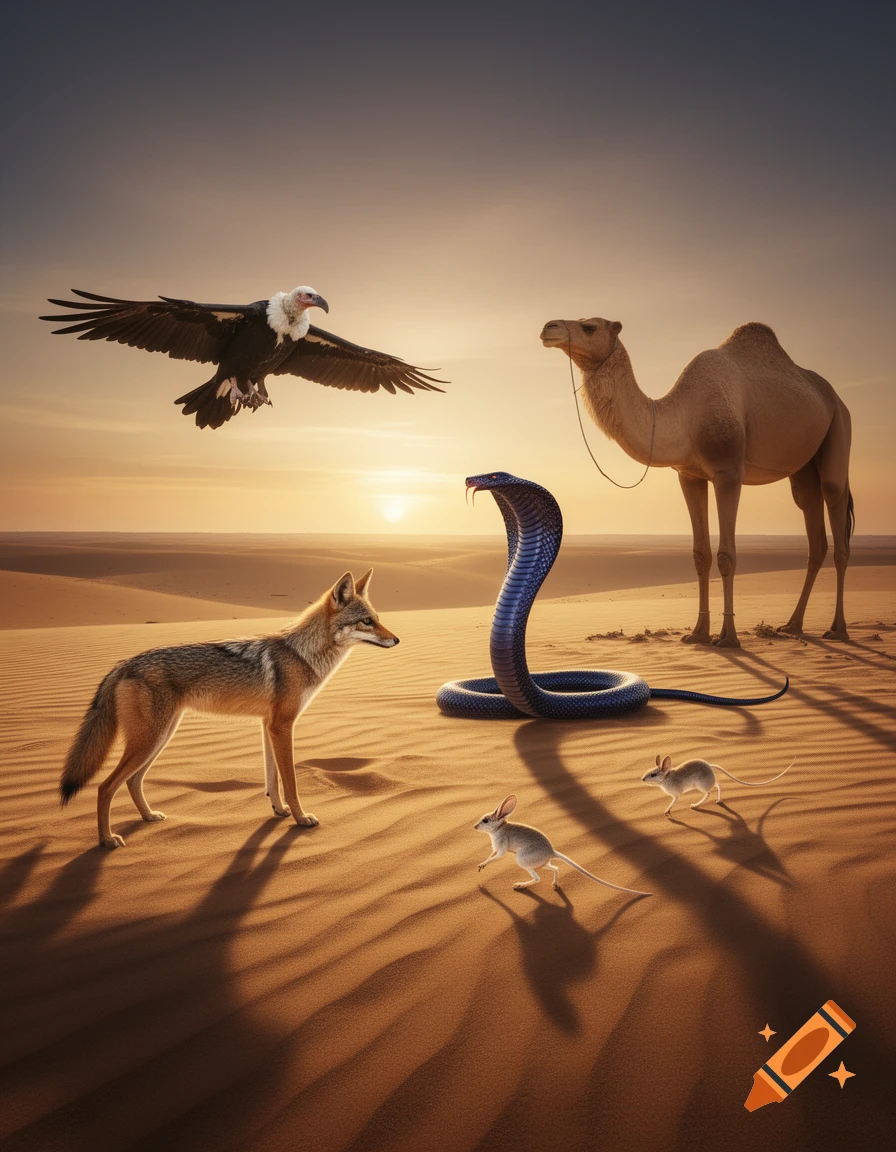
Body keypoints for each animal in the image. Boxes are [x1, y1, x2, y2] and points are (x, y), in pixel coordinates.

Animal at [541, 317, 854, 648]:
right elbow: (700, 555)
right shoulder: (689, 475)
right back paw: (793, 625)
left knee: (836, 510)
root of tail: (837, 398)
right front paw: (698, 633)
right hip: (804, 465)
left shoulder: (728, 472)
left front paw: (728, 637)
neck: (687, 418)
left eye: (589, 327)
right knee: (811, 521)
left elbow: (726, 555)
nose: (549, 327)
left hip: (839, 424)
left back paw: (838, 629)